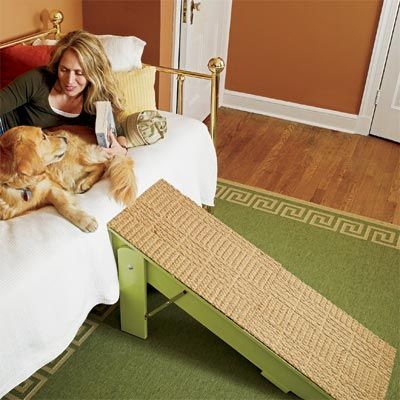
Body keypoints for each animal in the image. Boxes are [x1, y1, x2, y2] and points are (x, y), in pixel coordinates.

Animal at [0, 125, 136, 231]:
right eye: (43, 137)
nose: (65, 139)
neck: (24, 185)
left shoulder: (50, 187)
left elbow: (62, 205)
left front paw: (84, 220)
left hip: (63, 168)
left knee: (102, 164)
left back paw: (85, 182)